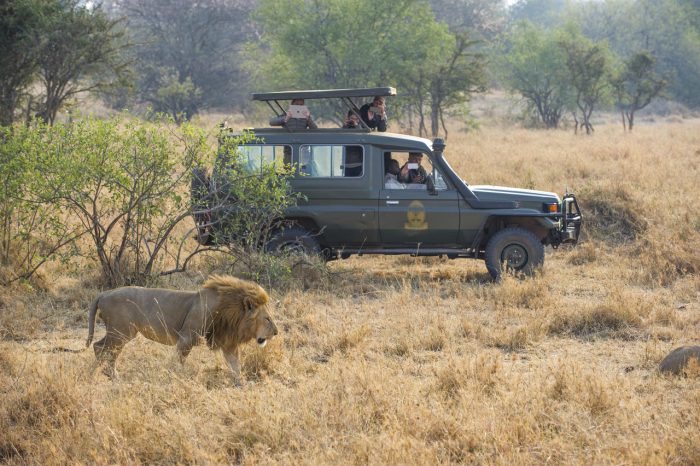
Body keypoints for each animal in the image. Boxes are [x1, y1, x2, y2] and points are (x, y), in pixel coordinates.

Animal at [89, 274, 280, 384]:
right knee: (100, 348)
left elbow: (235, 366)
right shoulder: (187, 337)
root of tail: (104, 294)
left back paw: (107, 374)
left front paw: (241, 384)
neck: (231, 313)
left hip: (120, 332)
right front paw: (173, 377)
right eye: (267, 318)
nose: (277, 332)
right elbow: (178, 361)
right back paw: (107, 375)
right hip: (121, 332)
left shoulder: (228, 343)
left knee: (104, 349)